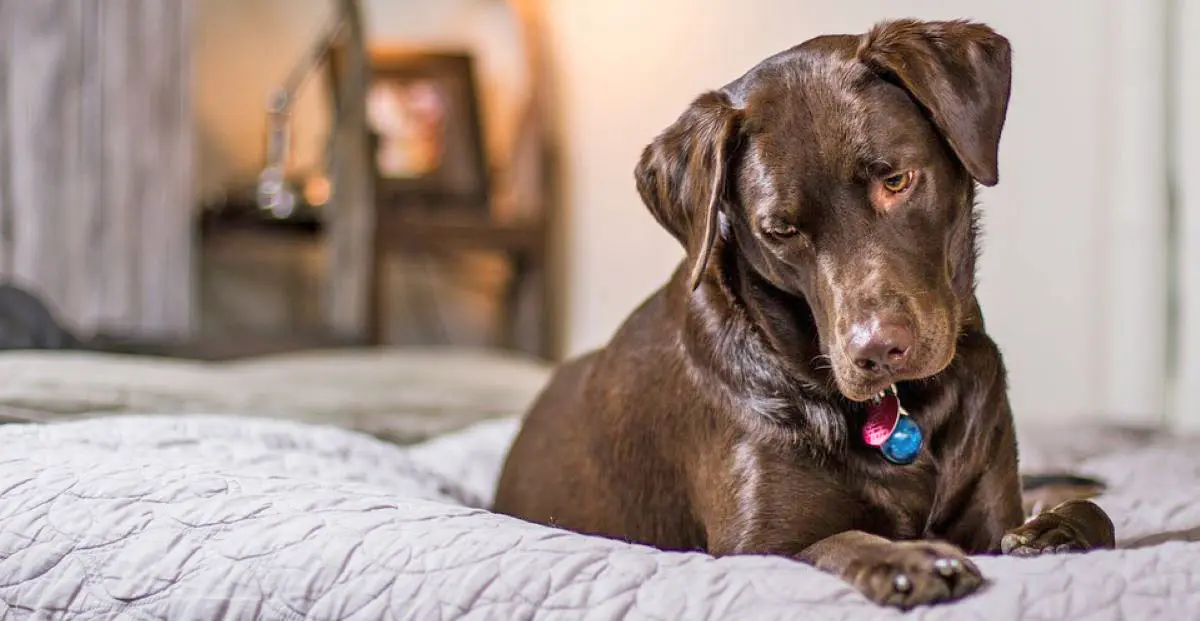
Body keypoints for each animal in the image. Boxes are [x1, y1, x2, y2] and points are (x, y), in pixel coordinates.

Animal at [492, 20, 1108, 613]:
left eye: (896, 181)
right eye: (781, 230)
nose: (876, 351)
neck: (906, 409)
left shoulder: (991, 514)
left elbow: (1090, 517)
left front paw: (1052, 530)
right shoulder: (753, 546)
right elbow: (835, 541)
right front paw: (906, 559)